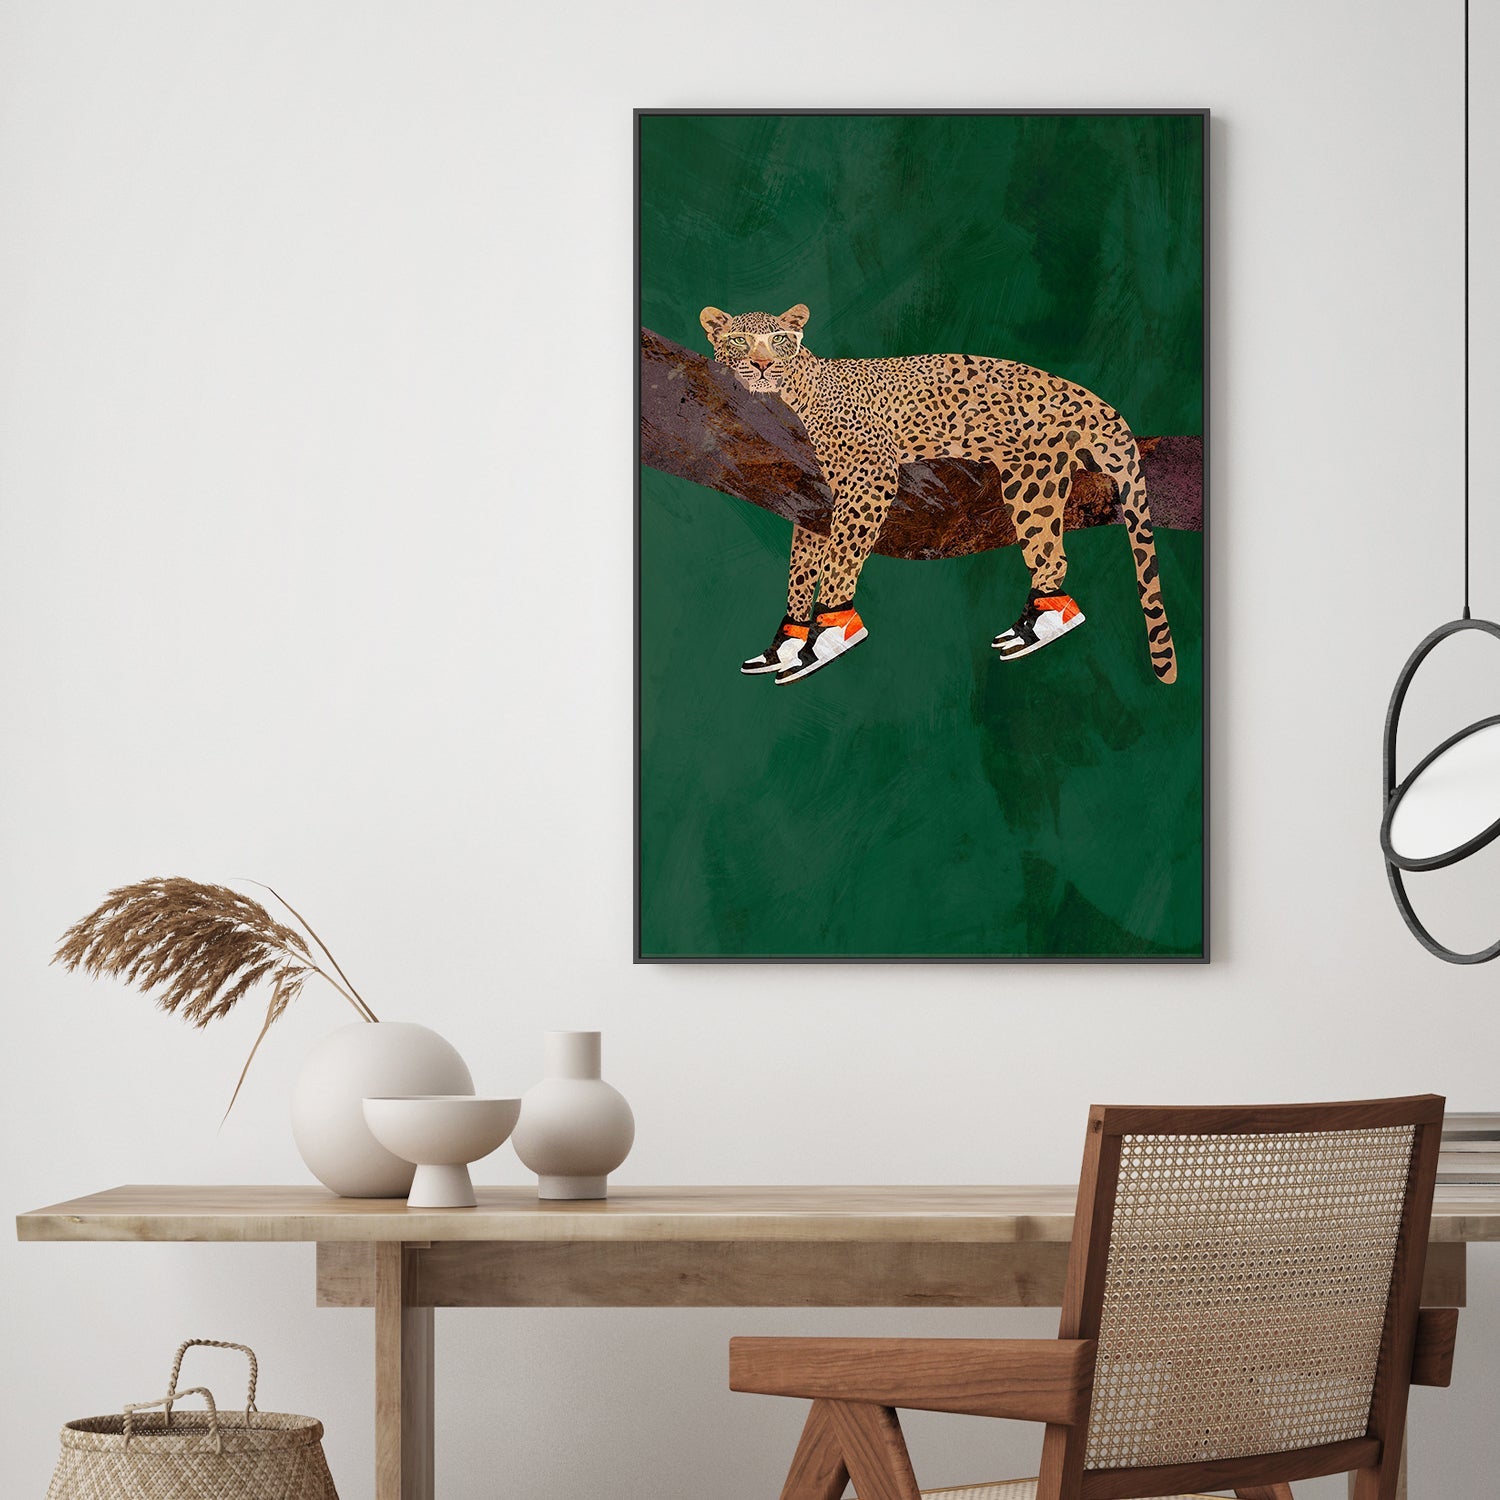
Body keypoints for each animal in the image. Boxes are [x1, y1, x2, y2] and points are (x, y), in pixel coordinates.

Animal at [699, 303, 1176, 686]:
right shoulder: (812, 496)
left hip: (1030, 477)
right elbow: (802, 570)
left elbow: (839, 558)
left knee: (1051, 554)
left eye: (779, 340)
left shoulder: (871, 474)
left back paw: (1041, 625)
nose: (762, 365)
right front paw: (786, 645)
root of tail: (1096, 401)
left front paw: (828, 635)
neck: (794, 392)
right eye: (739, 340)